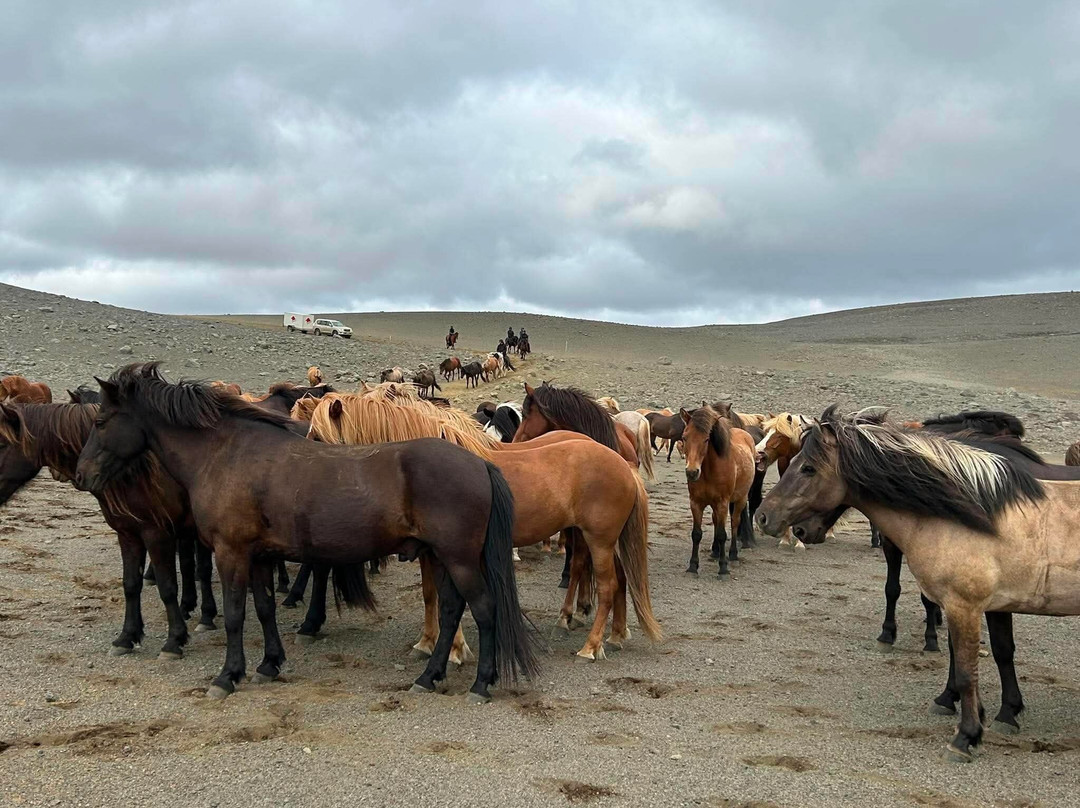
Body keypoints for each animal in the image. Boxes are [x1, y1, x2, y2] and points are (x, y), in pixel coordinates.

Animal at [0, 399, 218, 659]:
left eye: (1, 444)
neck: (134, 470)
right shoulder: (128, 534)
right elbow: (130, 584)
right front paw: (127, 637)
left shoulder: (157, 535)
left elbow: (167, 587)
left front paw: (174, 640)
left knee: (201, 568)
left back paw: (206, 616)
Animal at [75, 363, 540, 702]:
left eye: (101, 420)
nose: (82, 475)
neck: (227, 454)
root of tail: (478, 462)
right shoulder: (260, 556)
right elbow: (263, 608)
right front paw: (268, 664)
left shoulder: (230, 553)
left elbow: (234, 615)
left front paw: (227, 676)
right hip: (441, 557)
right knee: (450, 611)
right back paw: (430, 675)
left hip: (458, 558)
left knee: (483, 608)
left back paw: (481, 684)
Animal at [306, 393, 661, 662]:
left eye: (317, 438)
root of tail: (622, 465)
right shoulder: (428, 551)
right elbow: (430, 595)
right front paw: (427, 642)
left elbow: (446, 597)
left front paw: (454, 650)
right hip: (598, 539)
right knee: (617, 579)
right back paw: (614, 634)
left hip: (599, 540)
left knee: (607, 585)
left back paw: (591, 645)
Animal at [679, 406, 756, 577]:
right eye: (684, 437)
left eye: (706, 439)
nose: (692, 472)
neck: (709, 471)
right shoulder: (696, 503)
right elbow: (696, 534)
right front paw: (693, 566)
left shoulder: (722, 503)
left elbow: (722, 534)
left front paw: (723, 568)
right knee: (715, 521)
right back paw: (715, 551)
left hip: (740, 499)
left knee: (734, 523)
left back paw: (733, 554)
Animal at [753, 405, 1080, 762]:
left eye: (808, 468)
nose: (763, 517)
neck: (974, 518)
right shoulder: (974, 606)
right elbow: (976, 656)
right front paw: (986, 714)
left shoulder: (965, 606)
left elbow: (967, 671)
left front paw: (966, 736)